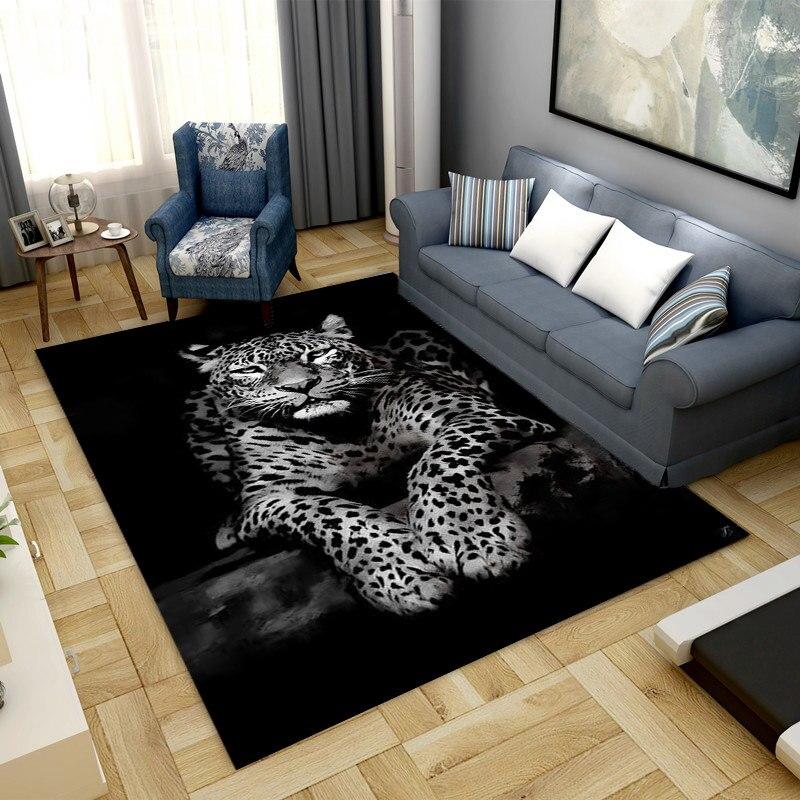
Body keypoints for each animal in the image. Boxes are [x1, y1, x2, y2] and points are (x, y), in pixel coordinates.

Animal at [182, 314, 554, 614]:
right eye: (250, 371)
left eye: (316, 354)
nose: (300, 385)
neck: (337, 432)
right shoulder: (268, 497)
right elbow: (335, 517)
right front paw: (401, 574)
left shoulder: (472, 413)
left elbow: (436, 462)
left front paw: (473, 537)